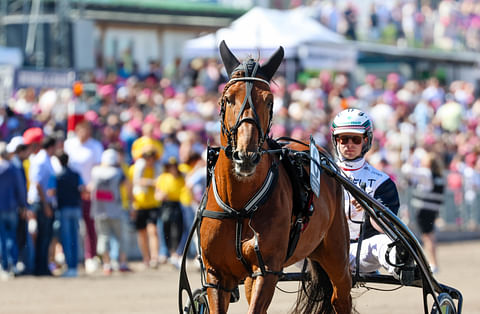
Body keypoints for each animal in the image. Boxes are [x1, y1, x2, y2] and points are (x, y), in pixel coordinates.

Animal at [199, 40, 352, 312]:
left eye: (269, 101)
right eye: (228, 99)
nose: (246, 156)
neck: (239, 206)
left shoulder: (267, 270)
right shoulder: (216, 275)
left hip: (337, 253)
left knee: (341, 296)